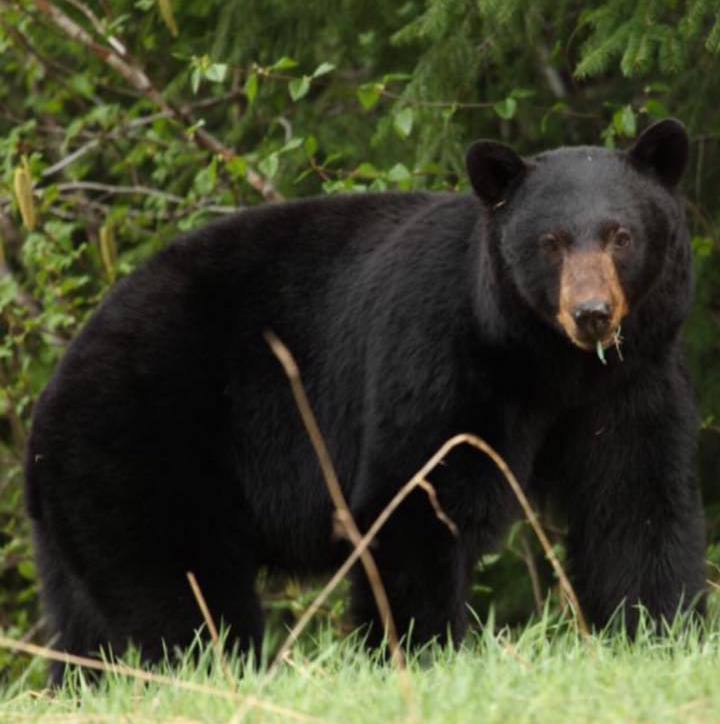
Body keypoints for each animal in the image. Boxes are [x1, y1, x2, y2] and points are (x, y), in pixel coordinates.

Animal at [25, 118, 706, 682]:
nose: (591, 313)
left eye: (621, 236)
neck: (545, 362)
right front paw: (420, 652)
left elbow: (636, 501)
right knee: (182, 593)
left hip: (78, 509)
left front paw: (659, 631)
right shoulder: (437, 354)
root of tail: (54, 390)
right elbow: (414, 500)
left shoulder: (630, 383)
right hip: (141, 450)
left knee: (84, 623)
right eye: (552, 241)